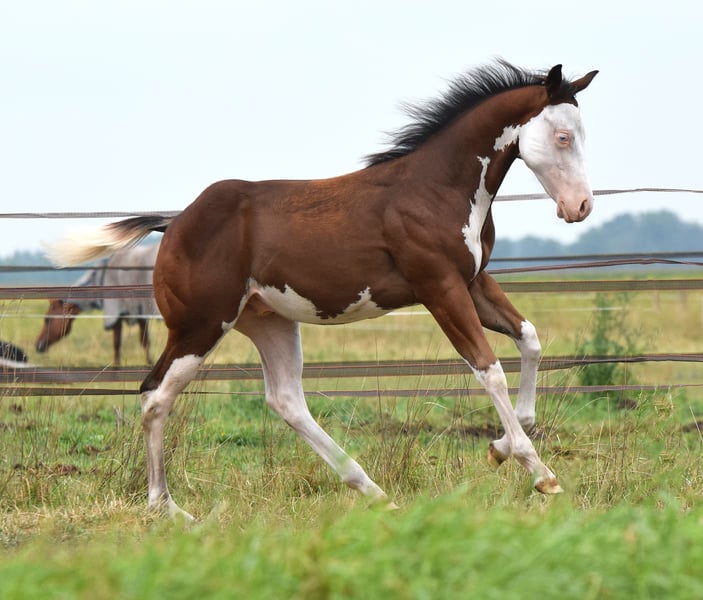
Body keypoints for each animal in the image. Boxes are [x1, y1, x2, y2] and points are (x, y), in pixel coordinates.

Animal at [47, 60, 598, 520]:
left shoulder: (474, 282)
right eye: (563, 136)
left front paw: (502, 447)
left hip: (267, 322)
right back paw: (168, 509)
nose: (581, 207)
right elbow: (490, 369)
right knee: (154, 395)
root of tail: (174, 222)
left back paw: (373, 491)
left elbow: (530, 340)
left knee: (286, 400)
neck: (437, 189)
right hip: (200, 325)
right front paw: (539, 472)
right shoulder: (440, 288)